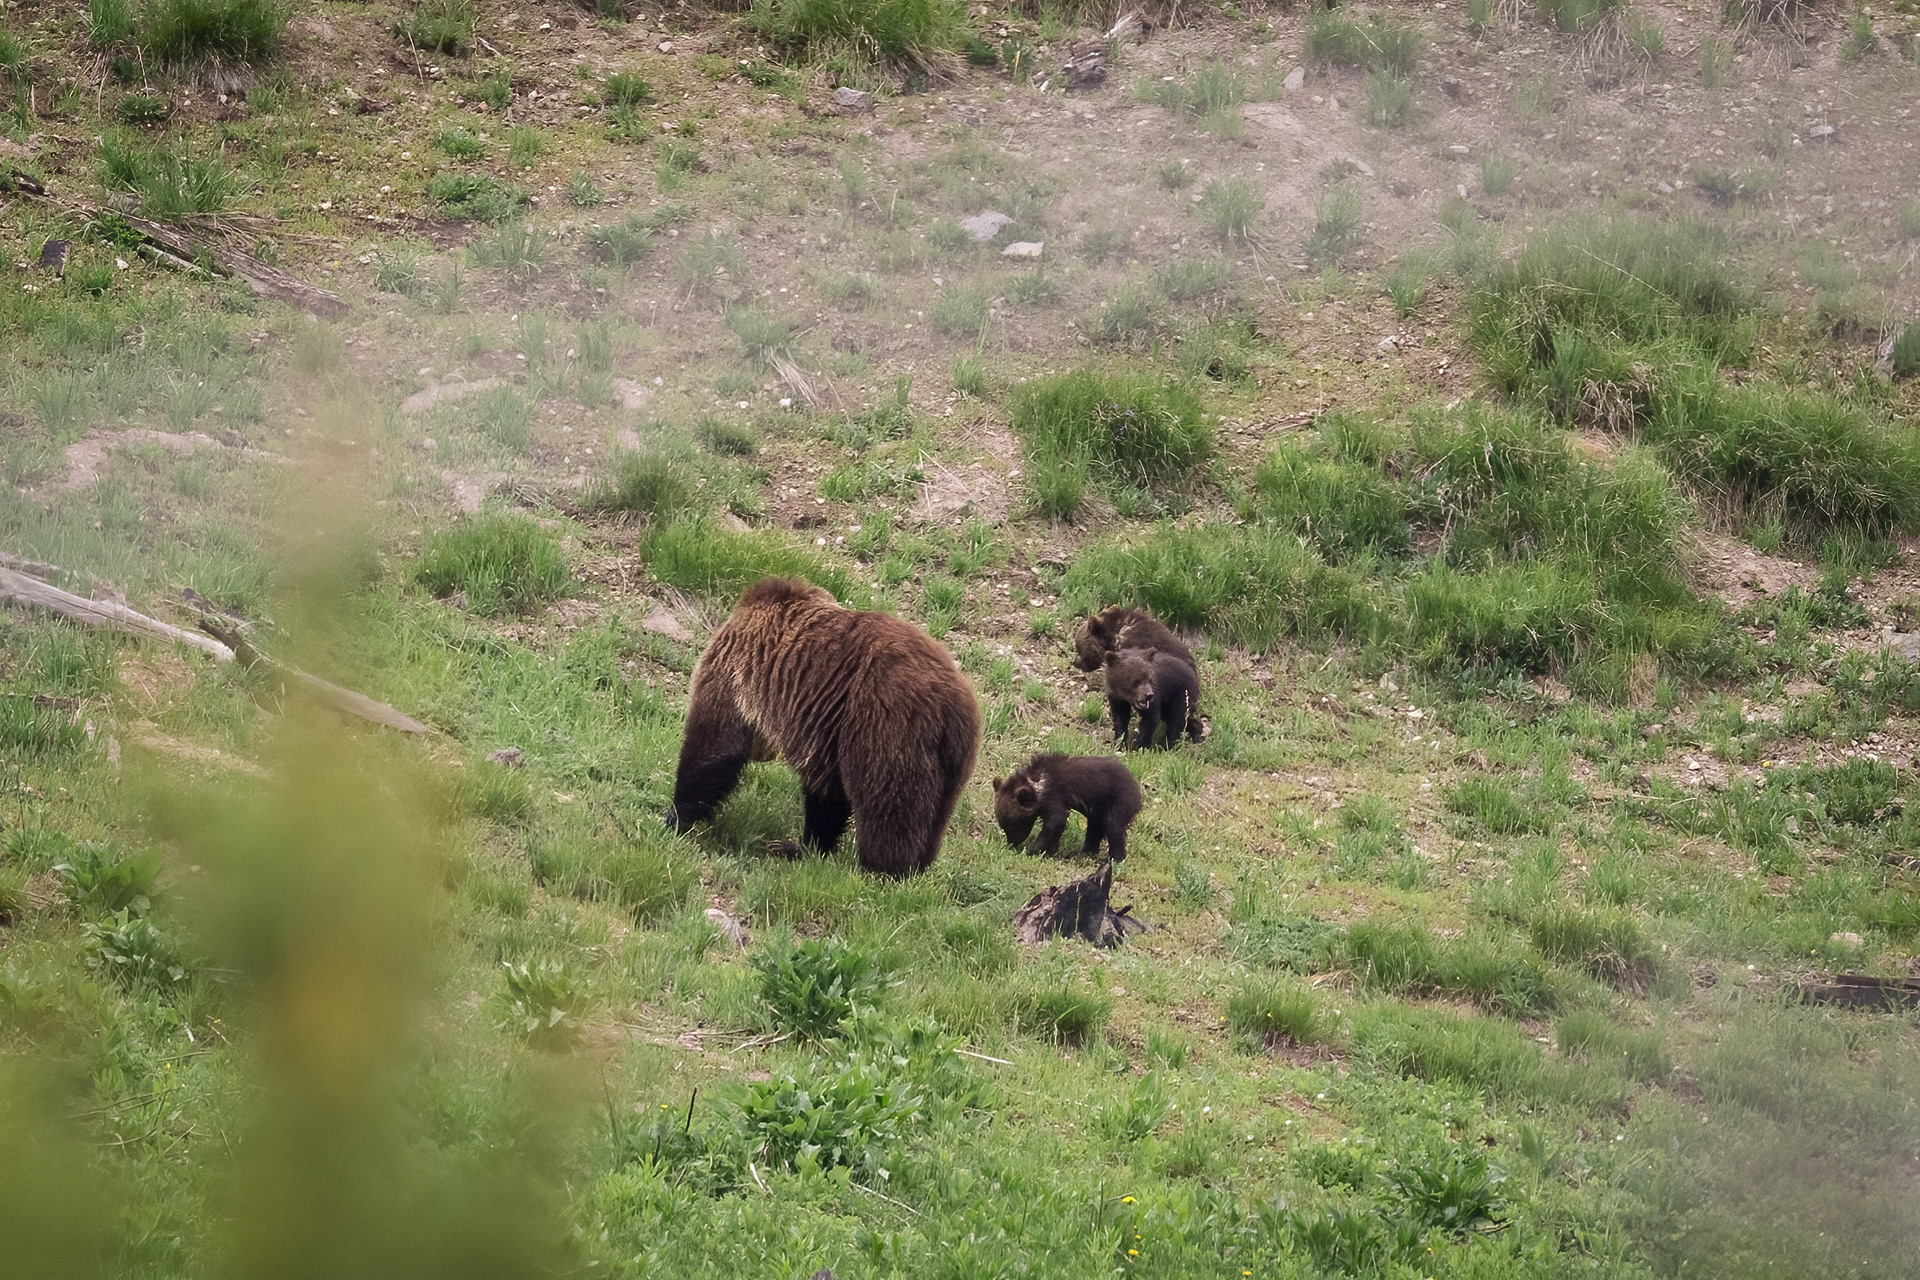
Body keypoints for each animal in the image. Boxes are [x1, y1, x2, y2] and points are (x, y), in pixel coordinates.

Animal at [662, 578, 981, 877]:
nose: (761, 754)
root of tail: (951, 706)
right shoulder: (827, 734)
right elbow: (828, 796)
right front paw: (807, 847)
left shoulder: (736, 670)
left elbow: (714, 749)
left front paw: (674, 817)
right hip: (953, 765)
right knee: (934, 819)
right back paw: (918, 867)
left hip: (887, 728)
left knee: (888, 808)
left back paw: (882, 870)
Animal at [992, 754, 1144, 862]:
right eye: (1004, 825)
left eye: (1013, 824)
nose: (1011, 844)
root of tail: (1135, 784)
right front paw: (1050, 850)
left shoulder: (1055, 795)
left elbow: (1055, 821)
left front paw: (1033, 851)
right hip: (1100, 807)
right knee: (1094, 828)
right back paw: (1086, 853)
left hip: (1119, 797)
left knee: (1114, 826)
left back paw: (1115, 858)